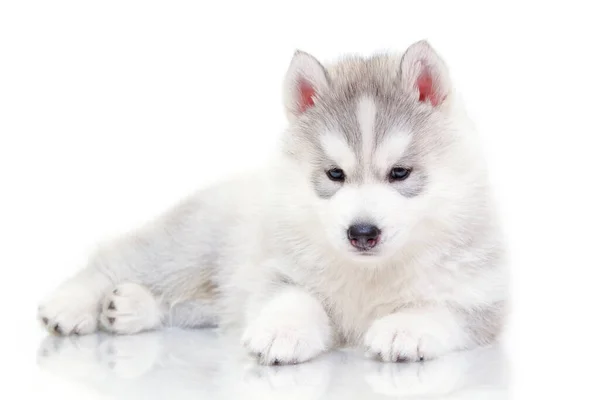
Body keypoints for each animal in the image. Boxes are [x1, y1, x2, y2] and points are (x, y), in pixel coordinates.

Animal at [37, 40, 506, 366]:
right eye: (334, 175)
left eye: (400, 173)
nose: (362, 233)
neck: (368, 273)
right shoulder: (278, 270)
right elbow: (295, 299)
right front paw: (285, 332)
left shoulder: (483, 298)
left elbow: (442, 308)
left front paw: (405, 328)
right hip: (187, 248)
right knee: (113, 260)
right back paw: (71, 305)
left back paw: (131, 308)